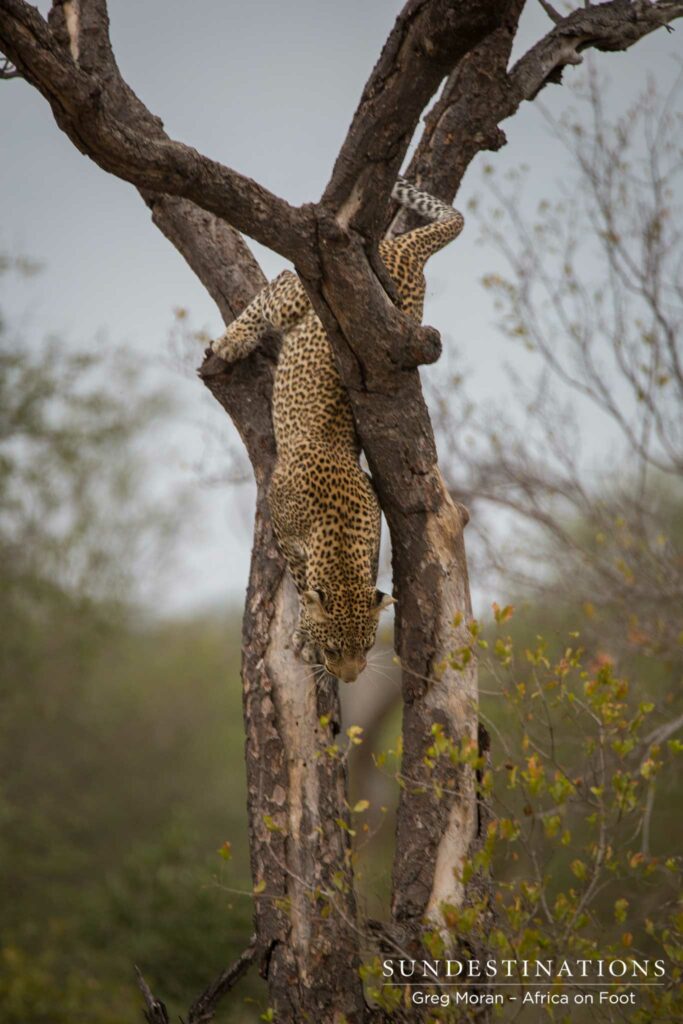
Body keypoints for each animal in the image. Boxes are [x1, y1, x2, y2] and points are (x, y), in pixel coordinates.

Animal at [212, 178, 464, 682]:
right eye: (332, 647)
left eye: (365, 645)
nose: (349, 677)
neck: (340, 539)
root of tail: (399, 249)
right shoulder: (282, 528)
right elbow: (298, 580)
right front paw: (300, 634)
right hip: (302, 295)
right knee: (276, 287)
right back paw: (232, 340)